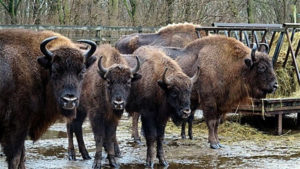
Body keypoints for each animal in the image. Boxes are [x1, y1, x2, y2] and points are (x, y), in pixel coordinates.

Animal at [0, 28, 96, 168]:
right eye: (55, 71)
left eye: (82, 71)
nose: (69, 101)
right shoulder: (17, 126)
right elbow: (16, 158)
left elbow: (22, 157)